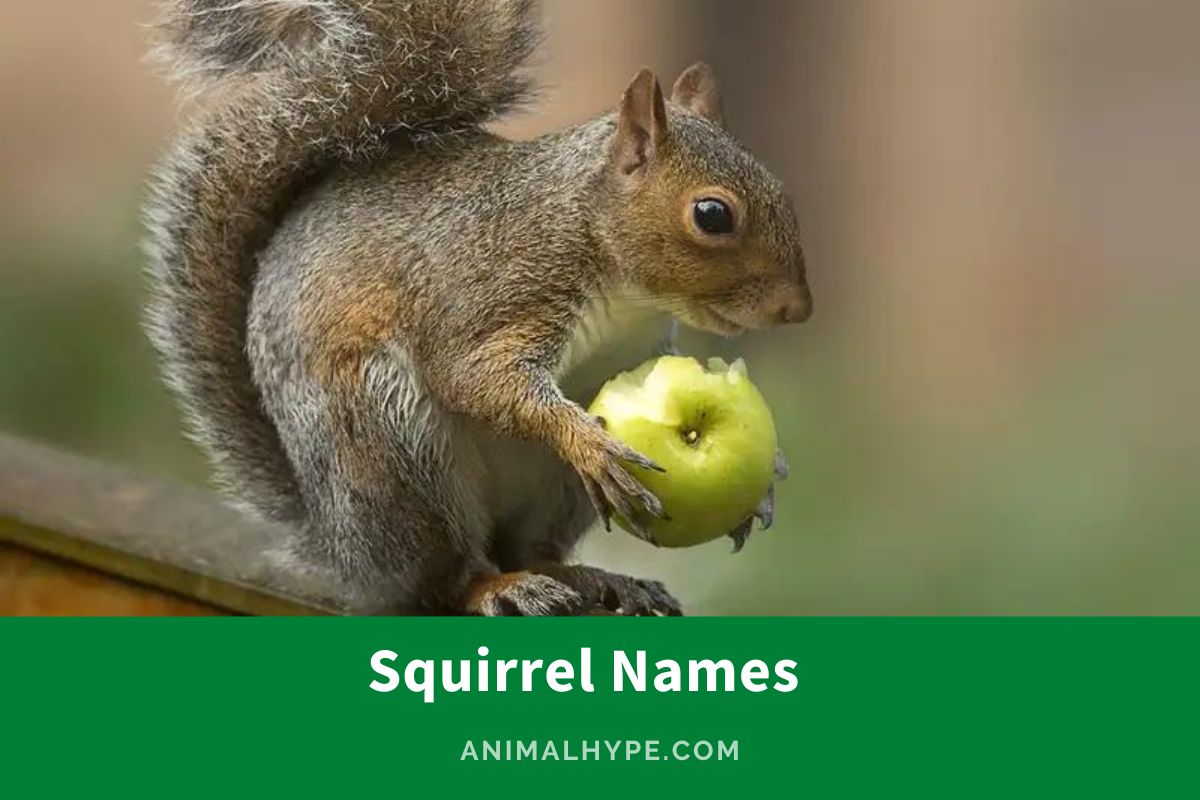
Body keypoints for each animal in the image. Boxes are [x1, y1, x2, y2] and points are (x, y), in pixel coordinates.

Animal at [144, 0, 812, 616]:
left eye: (781, 191)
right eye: (712, 215)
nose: (798, 311)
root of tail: (342, 549)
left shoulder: (639, 350)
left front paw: (767, 483)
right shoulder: (498, 288)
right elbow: (473, 376)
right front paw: (586, 442)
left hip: (552, 492)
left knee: (530, 548)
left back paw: (596, 579)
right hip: (392, 451)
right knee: (446, 578)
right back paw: (498, 587)